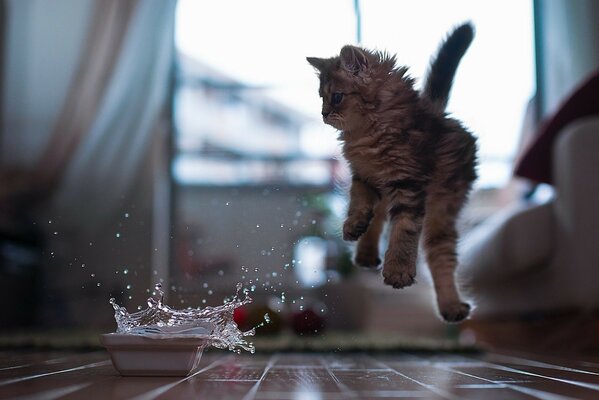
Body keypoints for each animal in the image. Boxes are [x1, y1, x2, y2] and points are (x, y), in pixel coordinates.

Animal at [310, 22, 478, 322]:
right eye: (322, 98)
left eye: (336, 97)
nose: (323, 113)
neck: (368, 132)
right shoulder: (363, 176)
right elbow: (358, 203)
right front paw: (353, 225)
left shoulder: (408, 183)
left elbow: (403, 230)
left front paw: (398, 271)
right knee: (378, 218)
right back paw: (365, 253)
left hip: (443, 209)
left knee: (440, 255)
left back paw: (451, 306)